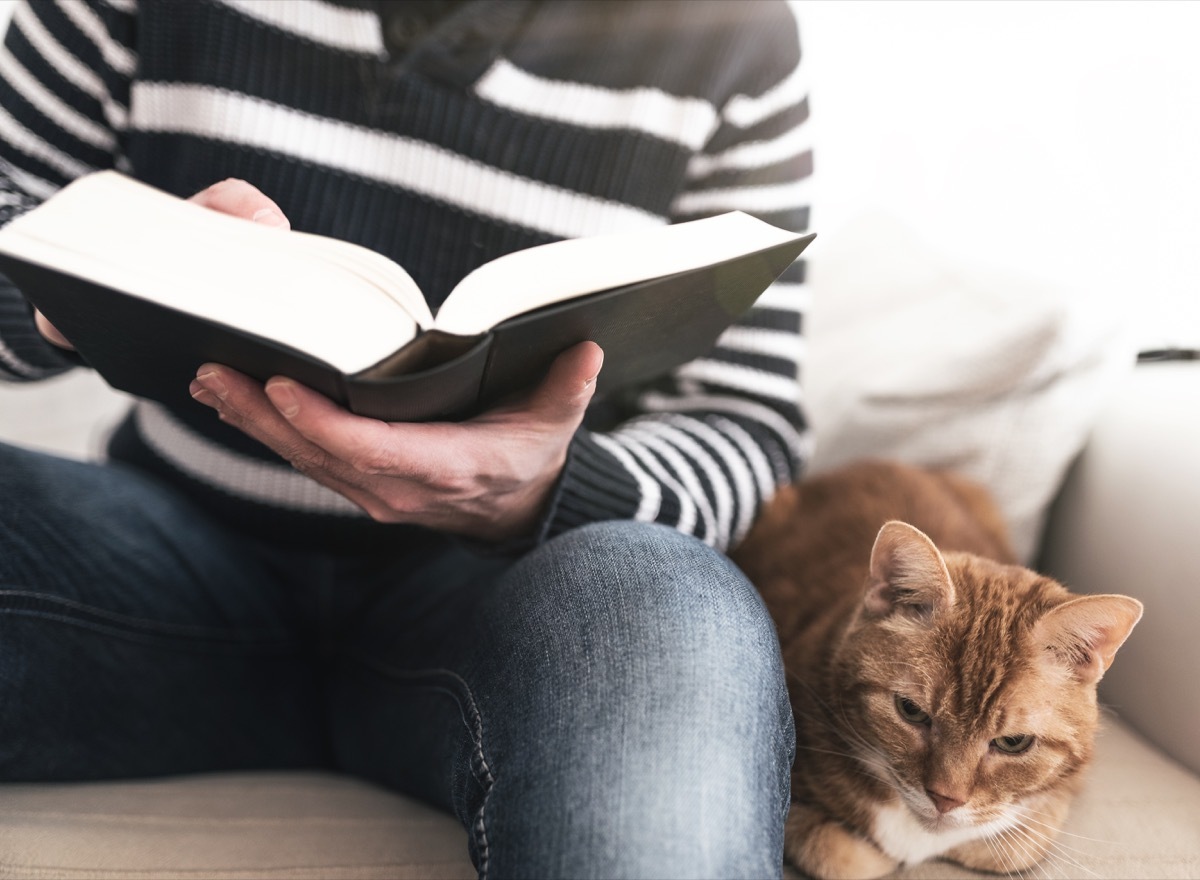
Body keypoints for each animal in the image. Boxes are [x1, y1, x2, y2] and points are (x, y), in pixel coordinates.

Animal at [729, 461, 1142, 878]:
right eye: (911, 711)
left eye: (1014, 742)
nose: (945, 799)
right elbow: (839, 856)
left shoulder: (1056, 798)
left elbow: (1015, 845)